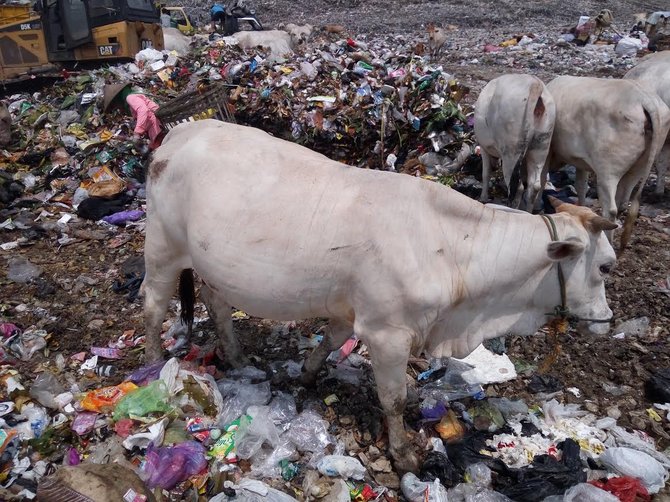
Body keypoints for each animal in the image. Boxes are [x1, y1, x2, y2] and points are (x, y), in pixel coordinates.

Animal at [146, 119, 620, 472]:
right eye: (605, 266)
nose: (606, 320)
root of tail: (180, 132)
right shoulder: (388, 331)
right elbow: (394, 398)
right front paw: (404, 453)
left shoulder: (351, 310)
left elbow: (331, 341)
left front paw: (305, 374)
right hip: (163, 250)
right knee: (152, 305)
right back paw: (155, 365)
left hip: (210, 265)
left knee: (217, 302)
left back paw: (236, 355)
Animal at [476, 73, 560, 211]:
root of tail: (535, 84)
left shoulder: (484, 148)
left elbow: (486, 173)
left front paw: (483, 198)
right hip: (541, 145)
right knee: (534, 186)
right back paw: (527, 211)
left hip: (511, 152)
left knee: (515, 186)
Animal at [544, 77, 670, 249]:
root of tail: (645, 99)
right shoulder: (581, 161)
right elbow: (581, 186)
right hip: (639, 167)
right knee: (622, 203)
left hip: (608, 170)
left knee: (610, 209)